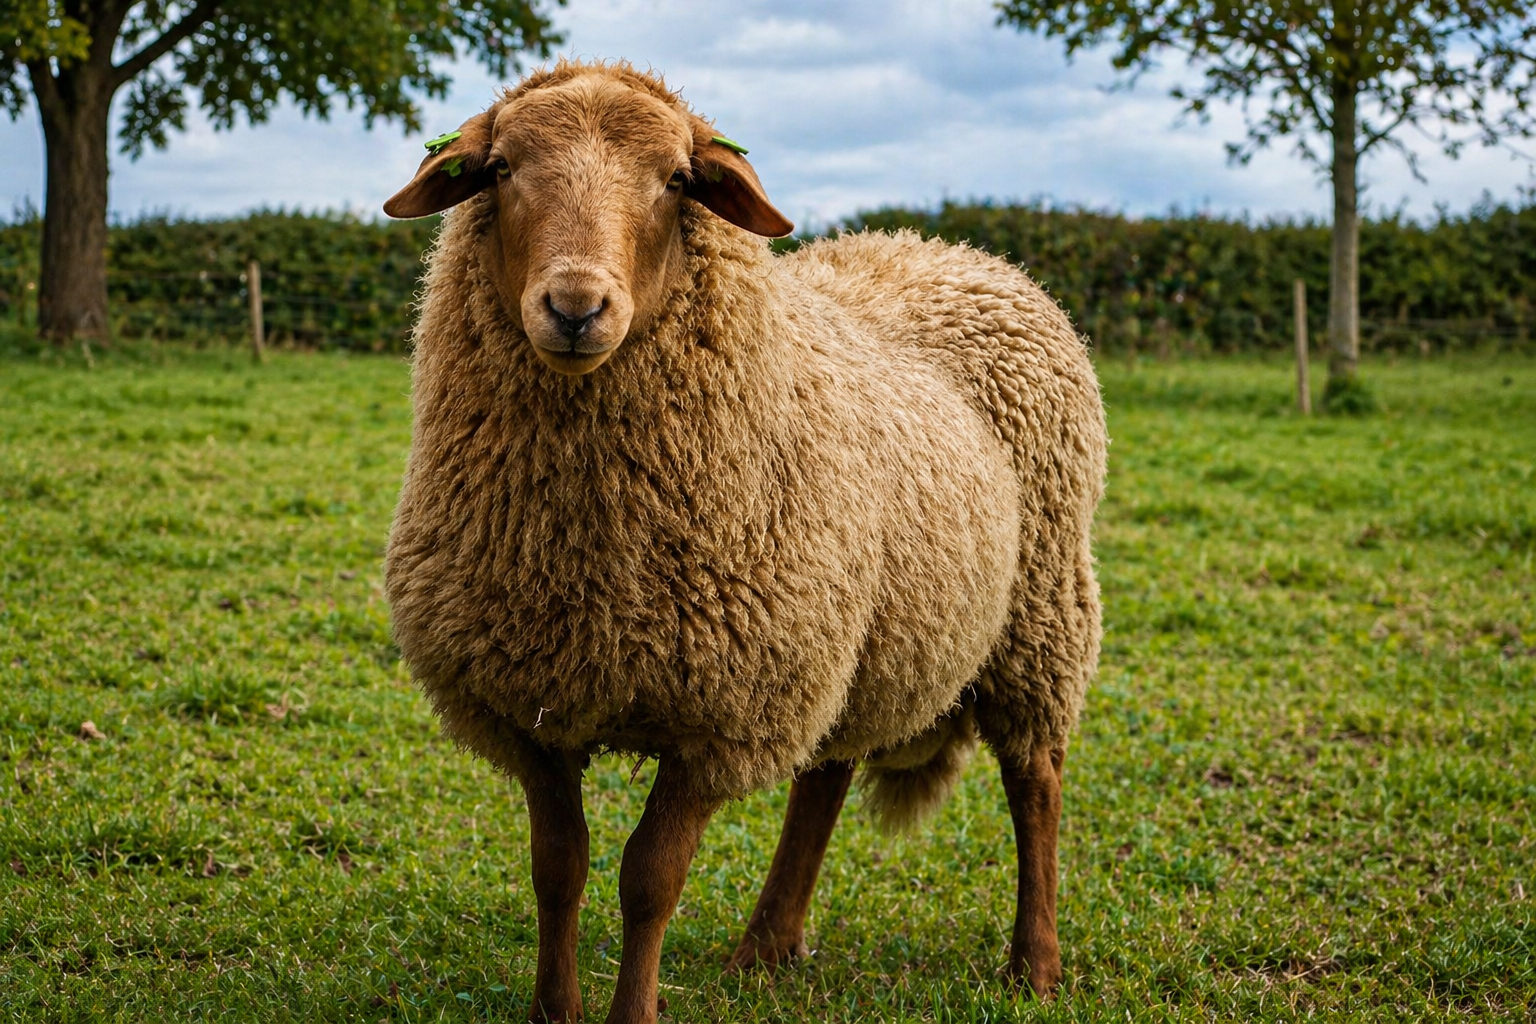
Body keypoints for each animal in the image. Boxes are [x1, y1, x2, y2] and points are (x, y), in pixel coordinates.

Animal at [381, 59, 1107, 1024]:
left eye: (676, 180)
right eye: (499, 169)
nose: (575, 307)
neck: (587, 561)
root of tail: (957, 253)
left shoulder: (721, 711)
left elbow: (649, 880)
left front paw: (633, 1011)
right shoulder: (530, 708)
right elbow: (558, 870)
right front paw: (554, 1012)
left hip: (1037, 614)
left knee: (1035, 782)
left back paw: (1035, 964)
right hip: (857, 635)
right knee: (825, 776)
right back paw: (765, 946)